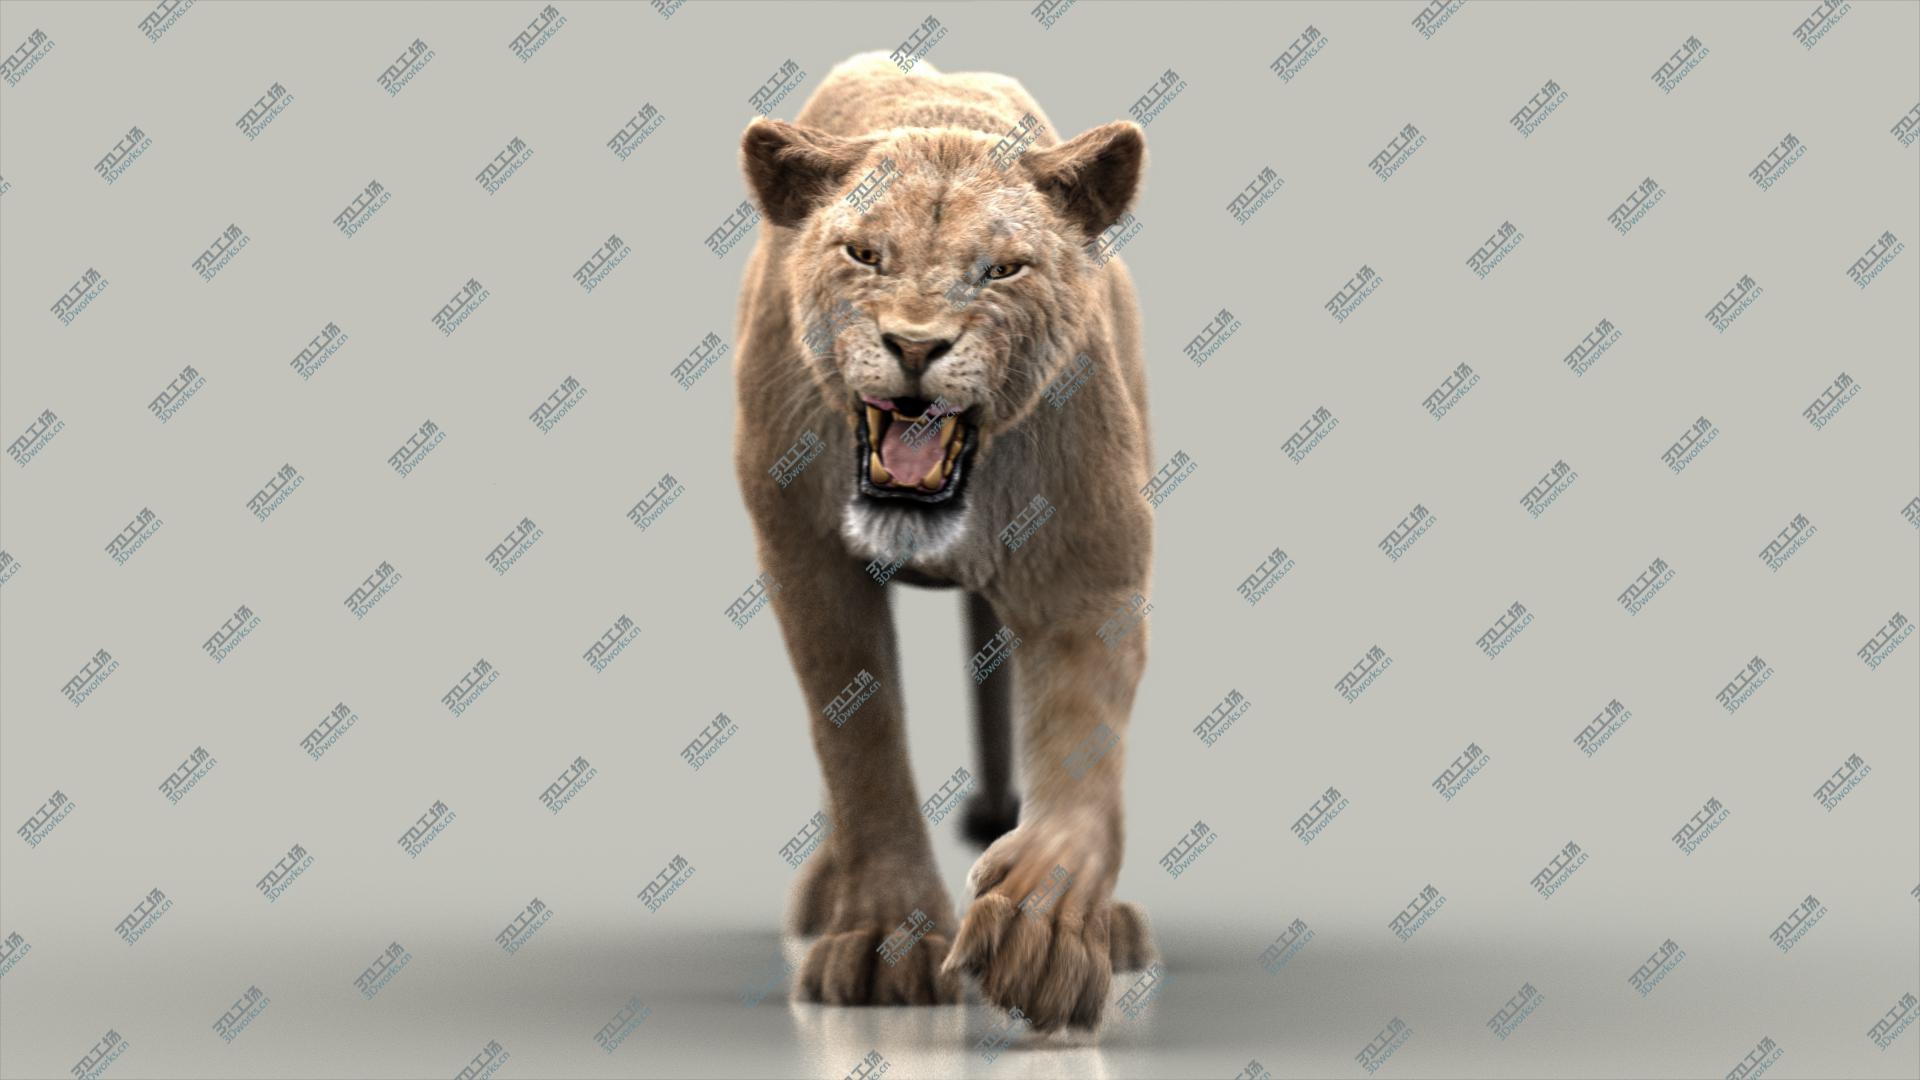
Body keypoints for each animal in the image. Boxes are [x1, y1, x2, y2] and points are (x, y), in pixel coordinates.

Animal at [731, 51, 1154, 1033]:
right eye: (862, 254)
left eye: (1001, 268)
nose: (917, 346)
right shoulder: (806, 560)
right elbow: (861, 746)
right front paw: (885, 938)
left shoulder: (1090, 563)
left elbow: (1083, 741)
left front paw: (1043, 930)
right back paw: (824, 896)